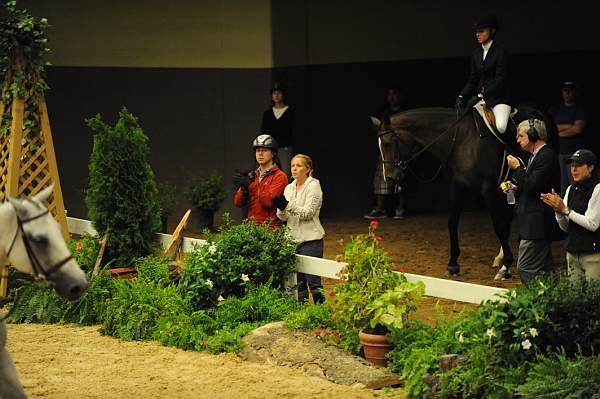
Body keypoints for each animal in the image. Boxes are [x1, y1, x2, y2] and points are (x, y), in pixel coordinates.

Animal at [372, 105, 552, 278]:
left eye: (387, 143)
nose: (389, 178)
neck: (461, 141)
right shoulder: (457, 186)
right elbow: (452, 222)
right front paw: (453, 264)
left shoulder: (488, 188)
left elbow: (498, 225)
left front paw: (506, 266)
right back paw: (500, 257)